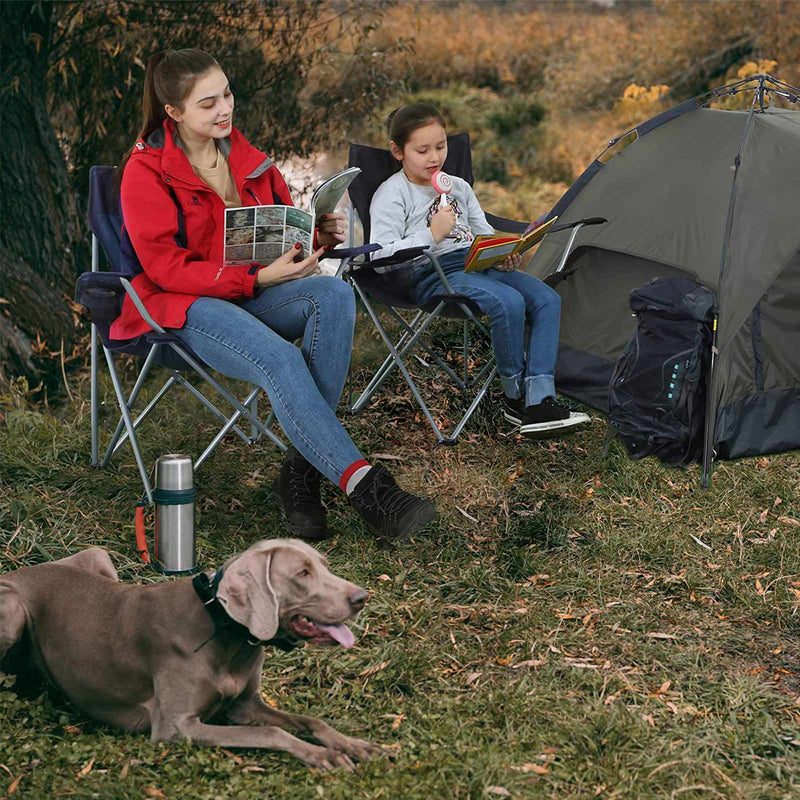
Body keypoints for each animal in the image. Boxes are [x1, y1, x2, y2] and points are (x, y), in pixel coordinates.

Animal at [0, 540, 384, 772]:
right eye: (302, 573)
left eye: (325, 565)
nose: (362, 597)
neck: (223, 627)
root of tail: (15, 570)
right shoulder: (174, 727)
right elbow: (271, 733)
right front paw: (323, 755)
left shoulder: (245, 706)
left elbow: (311, 721)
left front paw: (353, 745)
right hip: (14, 609)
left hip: (98, 555)